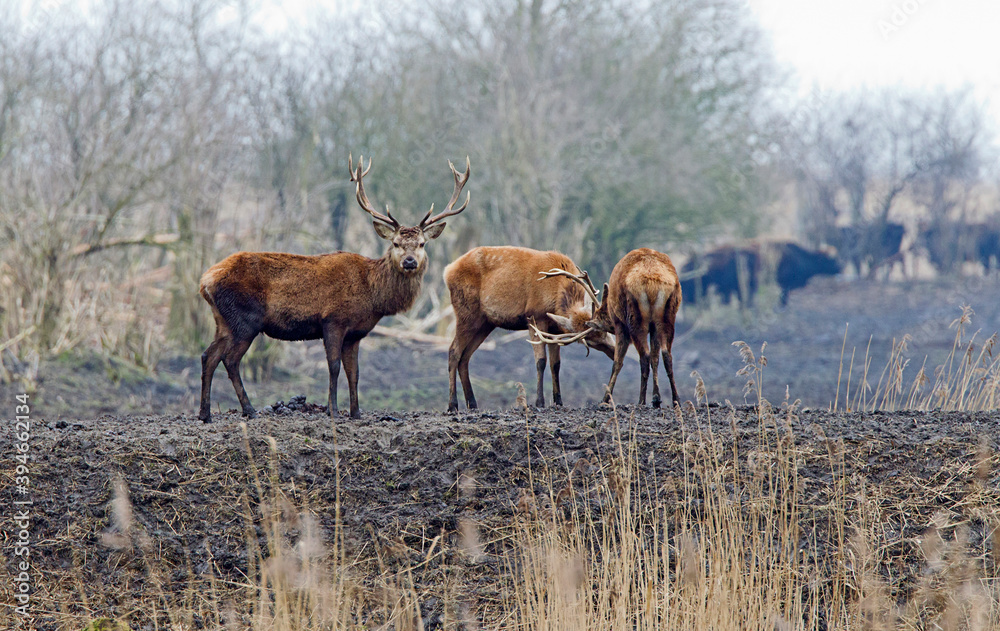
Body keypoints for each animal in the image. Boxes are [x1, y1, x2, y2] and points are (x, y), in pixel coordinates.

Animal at [197, 154, 470, 422]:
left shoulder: (356, 333)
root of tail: (204, 282)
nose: (410, 262)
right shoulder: (333, 320)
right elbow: (334, 366)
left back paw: (205, 413)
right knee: (230, 360)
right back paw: (248, 409)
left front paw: (356, 412)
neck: (372, 295)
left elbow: (354, 372)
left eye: (422, 244)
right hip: (245, 319)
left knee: (208, 355)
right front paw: (334, 410)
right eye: (395, 243)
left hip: (224, 320)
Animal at [443, 247, 616, 412]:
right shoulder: (535, 316)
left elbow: (556, 364)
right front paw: (540, 402)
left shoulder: (555, 328)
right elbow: (541, 361)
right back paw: (453, 404)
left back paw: (472, 404)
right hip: (466, 312)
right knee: (454, 351)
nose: (614, 352)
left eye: (604, 331)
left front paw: (559, 401)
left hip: (485, 323)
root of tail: (447, 271)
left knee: (465, 357)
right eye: (589, 340)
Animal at [532, 248, 682, 408]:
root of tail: (654, 284)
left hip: (635, 320)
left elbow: (618, 362)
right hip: (668, 316)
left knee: (644, 356)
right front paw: (656, 398)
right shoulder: (652, 327)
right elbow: (656, 357)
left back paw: (641, 401)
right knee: (666, 355)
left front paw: (605, 400)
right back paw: (675, 400)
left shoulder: (620, 324)